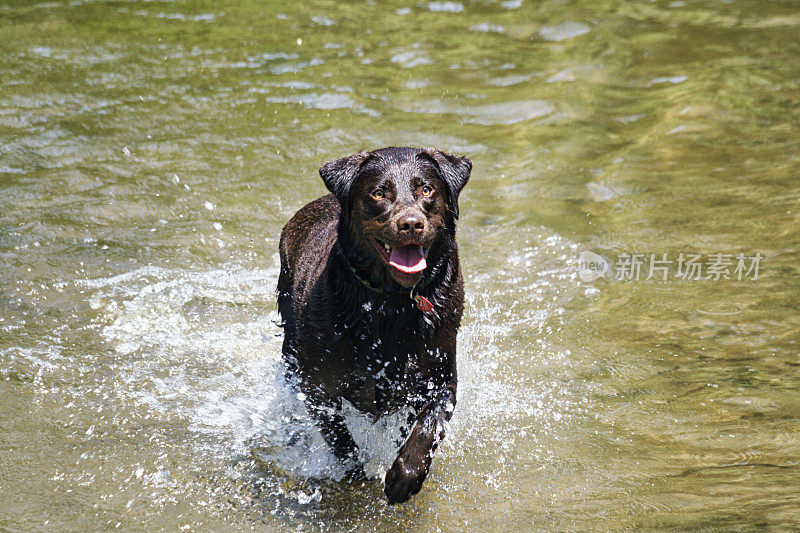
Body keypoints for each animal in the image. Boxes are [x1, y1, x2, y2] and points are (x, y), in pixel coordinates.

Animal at [278, 147, 472, 502]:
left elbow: (427, 428)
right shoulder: (318, 390)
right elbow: (341, 441)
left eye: (426, 190)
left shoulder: (441, 382)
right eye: (379, 193)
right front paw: (358, 475)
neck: (391, 304)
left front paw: (404, 478)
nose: (410, 224)